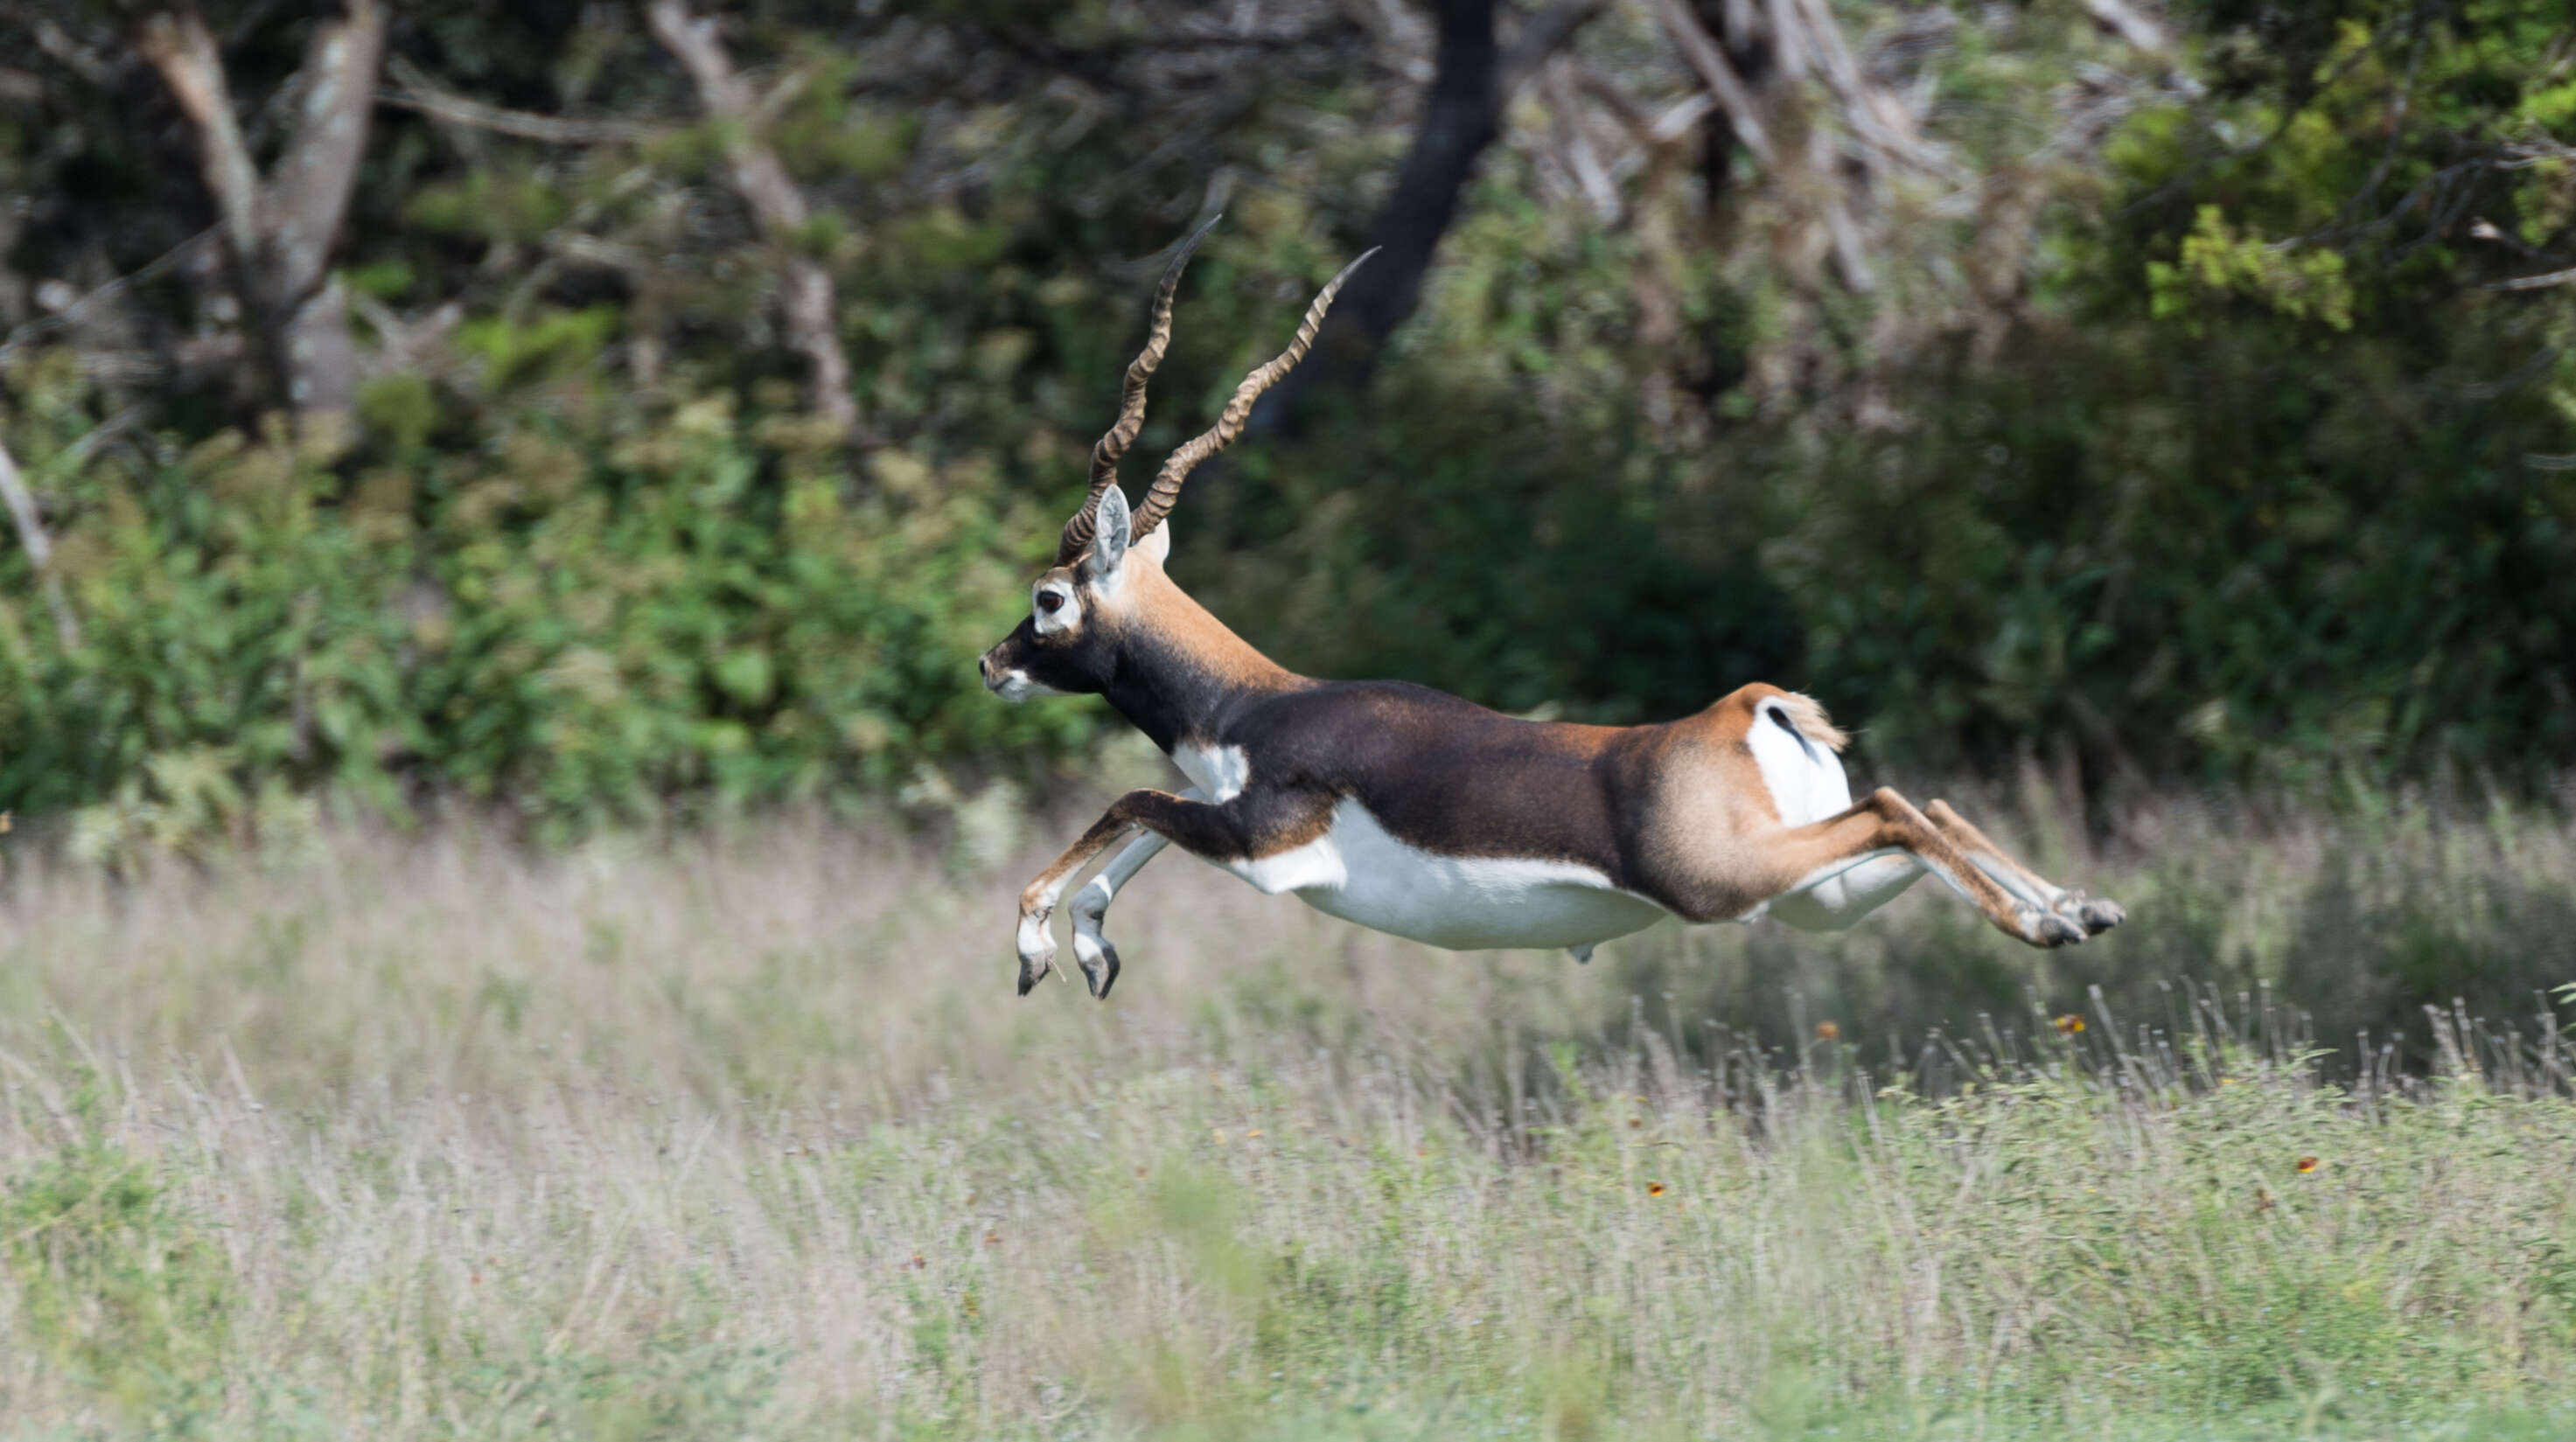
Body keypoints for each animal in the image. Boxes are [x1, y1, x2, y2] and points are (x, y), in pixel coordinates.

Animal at [974, 222, 2122, 1004]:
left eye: (1048, 596)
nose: (992, 664)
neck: (1249, 709)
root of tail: (1747, 707)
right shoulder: (1226, 818)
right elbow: (1144, 815)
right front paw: (1090, 942)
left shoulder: (1262, 846)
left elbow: (1130, 798)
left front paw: (1039, 942)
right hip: (1816, 894)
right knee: (1922, 804)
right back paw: (2079, 907)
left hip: (1735, 879)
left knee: (1894, 804)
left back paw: (2046, 929)